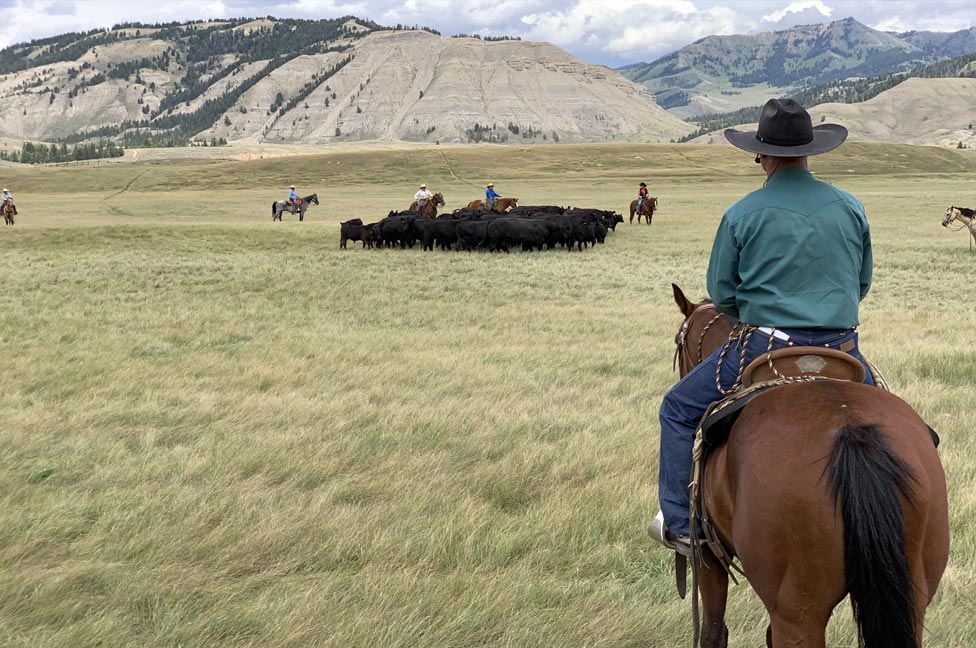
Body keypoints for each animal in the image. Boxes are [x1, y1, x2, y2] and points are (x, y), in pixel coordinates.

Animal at [672, 286, 944, 648]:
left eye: (679, 342)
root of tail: (851, 431)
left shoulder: (709, 556)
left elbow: (714, 632)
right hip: (913, 598)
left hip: (798, 613)